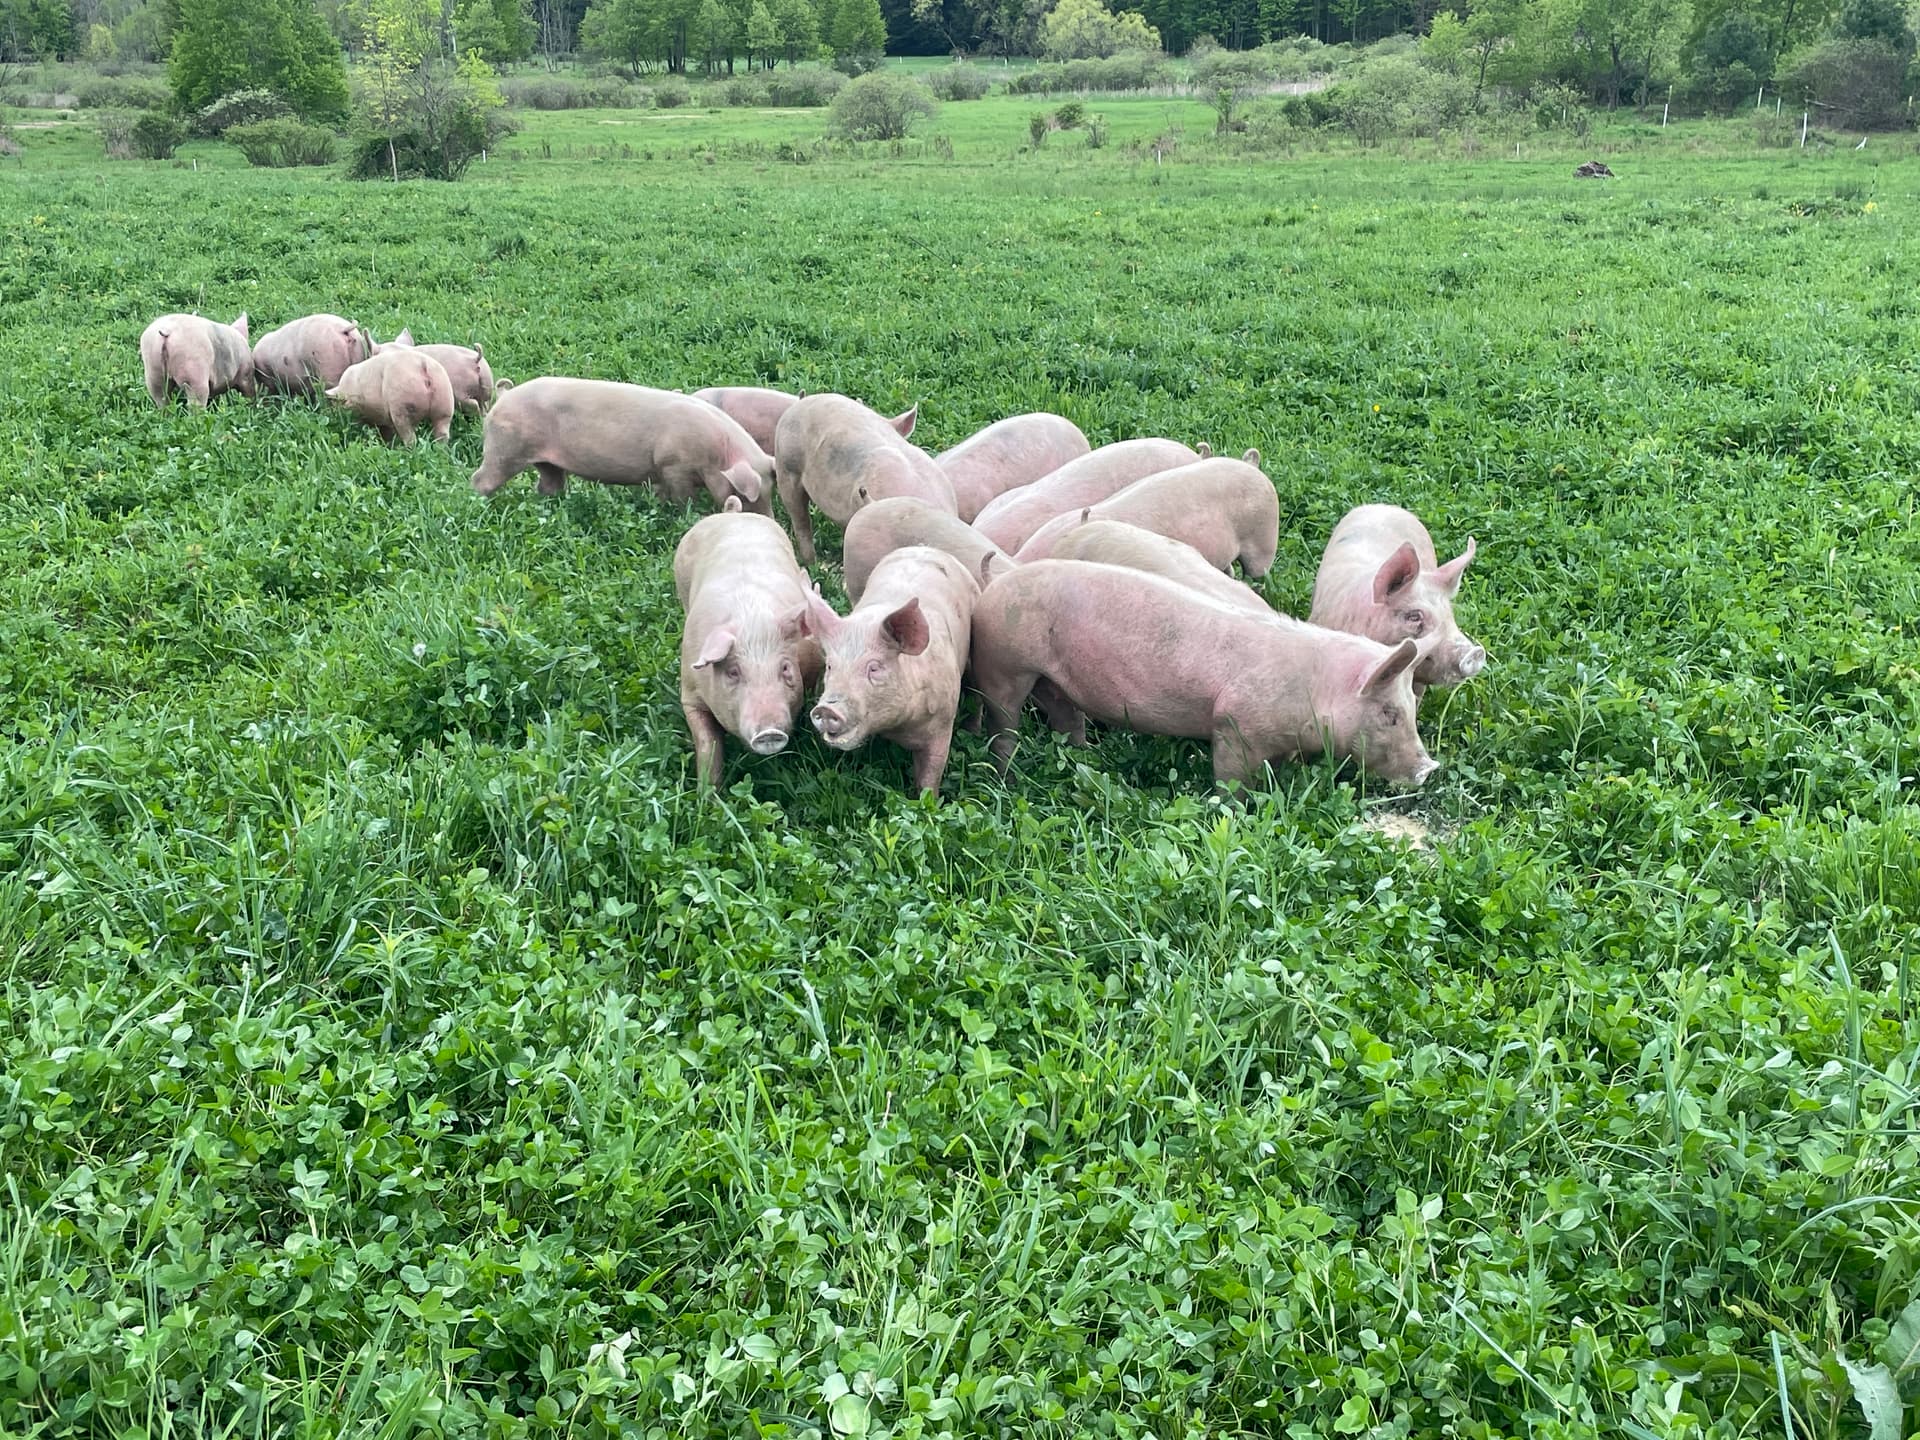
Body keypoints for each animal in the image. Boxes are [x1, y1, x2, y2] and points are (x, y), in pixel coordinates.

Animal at [471, 378, 774, 514]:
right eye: (744, 494)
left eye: (771, 492)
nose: (769, 520)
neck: (717, 454)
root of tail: (504, 396)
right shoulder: (674, 465)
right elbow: (683, 498)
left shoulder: (662, 471)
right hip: (505, 449)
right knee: (480, 479)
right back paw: (481, 506)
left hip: (546, 461)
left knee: (548, 484)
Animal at [674, 499, 823, 787]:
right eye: (733, 672)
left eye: (785, 668)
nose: (769, 732)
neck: (751, 624)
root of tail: (733, 514)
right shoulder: (689, 693)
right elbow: (708, 745)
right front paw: (707, 794)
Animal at [804, 546, 979, 796]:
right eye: (830, 665)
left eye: (874, 667)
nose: (827, 709)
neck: (897, 728)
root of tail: (926, 547)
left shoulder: (944, 722)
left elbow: (930, 775)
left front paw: (928, 800)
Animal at [971, 560, 1437, 789]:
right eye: (1390, 714)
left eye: (1413, 710)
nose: (1429, 768)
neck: (1313, 688)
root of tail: (996, 580)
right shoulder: (1233, 725)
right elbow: (1231, 781)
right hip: (1003, 665)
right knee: (1004, 724)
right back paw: (1005, 778)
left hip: (1052, 679)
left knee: (1064, 714)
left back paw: (1083, 760)